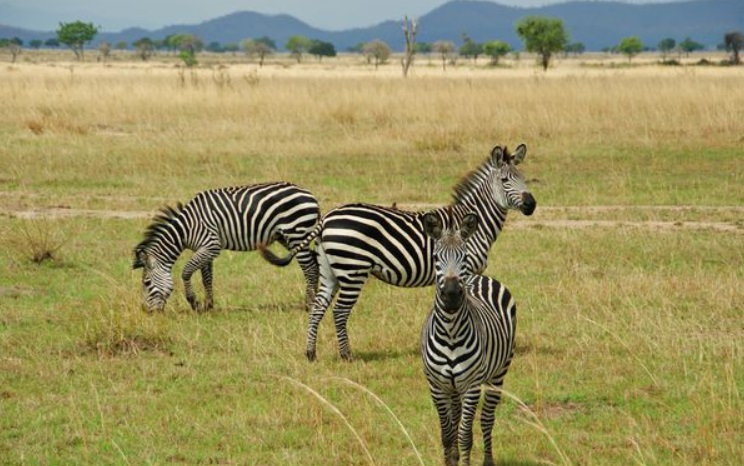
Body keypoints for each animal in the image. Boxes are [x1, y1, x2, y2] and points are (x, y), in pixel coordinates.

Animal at [134, 182, 320, 314]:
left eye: (146, 283)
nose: (146, 311)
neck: (187, 228)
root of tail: (311, 195)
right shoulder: (204, 249)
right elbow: (207, 278)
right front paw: (208, 306)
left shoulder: (211, 246)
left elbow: (186, 272)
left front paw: (194, 302)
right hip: (288, 237)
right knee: (314, 262)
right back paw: (315, 300)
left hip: (296, 233)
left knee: (310, 268)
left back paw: (309, 305)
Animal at [262, 144, 536, 362]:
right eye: (505, 180)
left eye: (524, 178)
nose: (531, 205)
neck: (472, 223)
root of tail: (327, 217)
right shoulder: (465, 272)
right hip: (353, 271)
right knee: (339, 312)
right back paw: (347, 355)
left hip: (331, 271)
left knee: (319, 307)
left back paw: (311, 353)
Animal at [418, 211, 516, 466]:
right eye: (436, 257)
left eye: (464, 256)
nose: (451, 295)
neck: (450, 331)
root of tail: (477, 278)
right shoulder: (436, 385)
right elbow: (447, 433)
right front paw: (449, 460)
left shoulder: (472, 385)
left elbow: (464, 435)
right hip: (454, 387)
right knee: (457, 418)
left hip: (498, 373)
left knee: (486, 420)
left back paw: (488, 460)